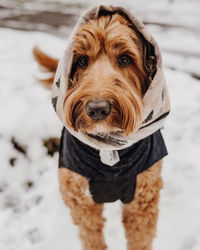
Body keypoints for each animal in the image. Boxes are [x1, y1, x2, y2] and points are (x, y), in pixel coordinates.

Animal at [33, 4, 170, 249]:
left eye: (124, 59)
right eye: (81, 61)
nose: (97, 109)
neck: (109, 153)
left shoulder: (142, 205)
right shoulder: (83, 205)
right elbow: (92, 237)